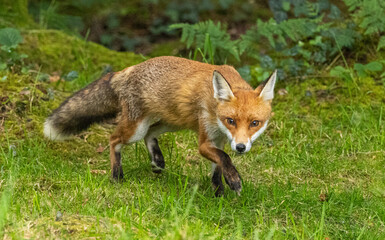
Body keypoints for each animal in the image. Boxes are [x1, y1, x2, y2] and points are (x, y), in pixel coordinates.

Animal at [44, 55, 276, 195]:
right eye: (231, 121)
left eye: (255, 123)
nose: (241, 147)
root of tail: (127, 70)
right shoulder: (205, 142)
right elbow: (225, 158)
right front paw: (234, 181)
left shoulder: (218, 140)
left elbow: (218, 167)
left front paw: (219, 192)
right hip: (136, 129)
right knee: (114, 139)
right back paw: (117, 176)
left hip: (171, 123)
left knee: (151, 134)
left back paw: (157, 160)